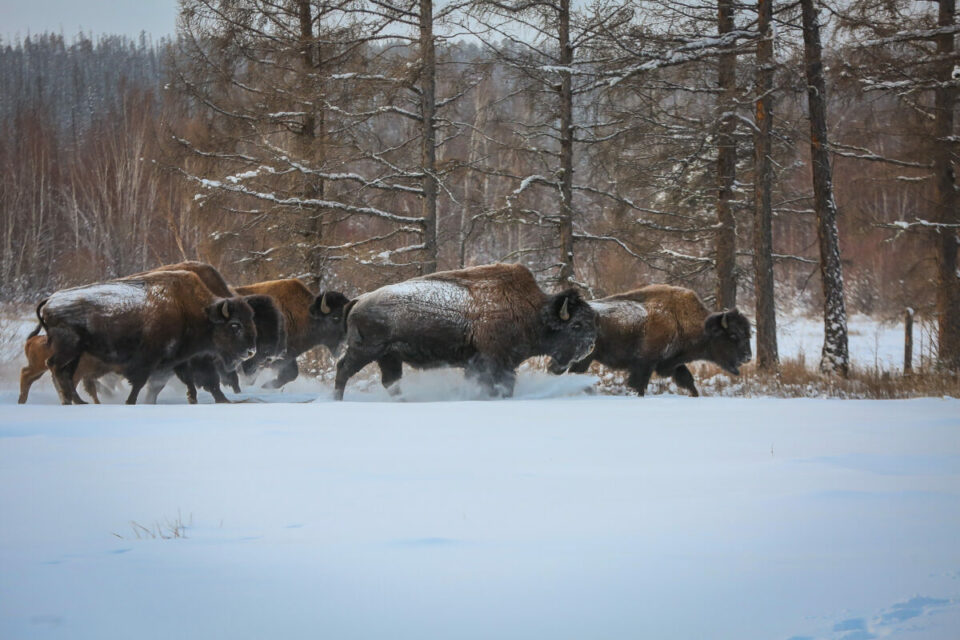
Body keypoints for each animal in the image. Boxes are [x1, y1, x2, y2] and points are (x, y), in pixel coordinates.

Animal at [38, 272, 258, 404]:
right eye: (235, 325)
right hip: (68, 349)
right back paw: (70, 400)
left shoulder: (179, 359)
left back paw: (77, 401)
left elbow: (189, 381)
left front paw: (195, 400)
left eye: (250, 320)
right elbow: (140, 382)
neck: (191, 308)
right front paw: (130, 402)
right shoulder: (149, 360)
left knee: (66, 374)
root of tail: (50, 300)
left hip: (76, 353)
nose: (251, 351)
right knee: (56, 368)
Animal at [334, 262, 596, 398]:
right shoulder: (496, 362)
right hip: (365, 350)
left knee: (390, 382)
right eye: (576, 325)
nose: (591, 345)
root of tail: (358, 300)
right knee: (343, 369)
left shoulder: (477, 363)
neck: (534, 311)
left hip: (388, 356)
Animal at [552, 284, 752, 396]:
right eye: (733, 335)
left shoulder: (673, 363)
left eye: (748, 334)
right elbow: (639, 386)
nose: (748, 357)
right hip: (581, 359)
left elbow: (688, 381)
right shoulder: (644, 365)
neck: (680, 319)